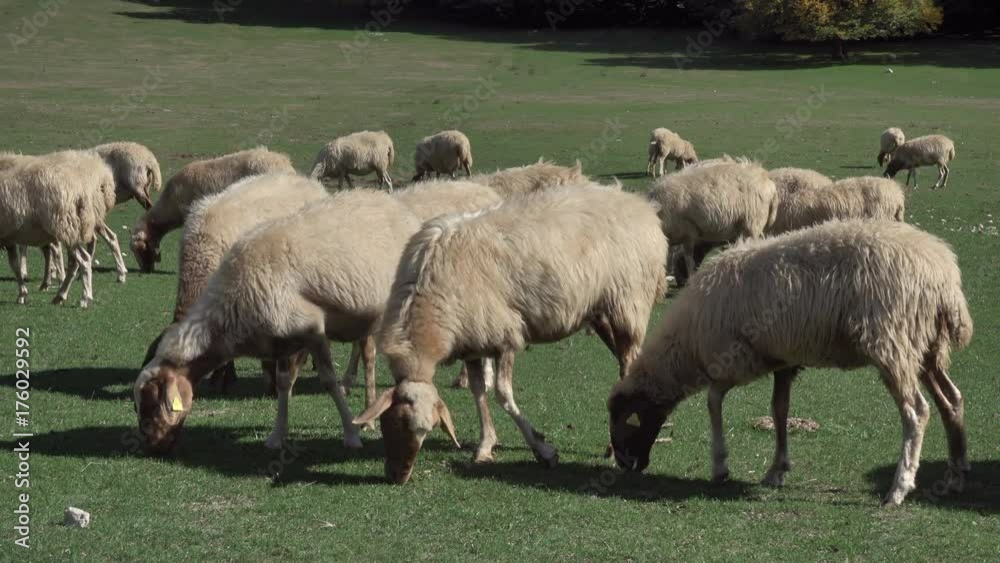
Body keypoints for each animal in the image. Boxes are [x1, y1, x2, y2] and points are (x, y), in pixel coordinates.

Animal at [0, 150, 116, 307]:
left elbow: (15, 265)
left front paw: (22, 294)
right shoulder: (8, 237)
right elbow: (15, 265)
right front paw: (23, 294)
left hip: (66, 228)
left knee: (84, 259)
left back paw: (85, 298)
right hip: (72, 230)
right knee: (74, 262)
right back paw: (60, 295)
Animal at [354, 185, 668, 484]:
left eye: (424, 429)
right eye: (389, 423)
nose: (396, 476)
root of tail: (643, 208)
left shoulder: (504, 337)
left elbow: (503, 395)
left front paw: (544, 451)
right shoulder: (472, 341)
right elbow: (478, 391)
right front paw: (484, 446)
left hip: (627, 302)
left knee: (628, 363)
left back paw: (614, 449)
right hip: (600, 313)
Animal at [608, 219, 973, 506]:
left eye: (624, 419)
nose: (625, 466)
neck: (686, 347)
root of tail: (944, 276)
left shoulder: (733, 358)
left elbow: (713, 402)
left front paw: (720, 465)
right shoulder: (783, 360)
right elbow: (779, 410)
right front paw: (777, 469)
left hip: (891, 342)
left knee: (917, 412)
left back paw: (899, 488)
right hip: (924, 348)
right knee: (951, 400)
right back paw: (955, 476)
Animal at [648, 159, 777, 280]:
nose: (680, 282)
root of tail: (768, 182)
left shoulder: (688, 233)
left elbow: (688, 259)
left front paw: (690, 276)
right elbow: (670, 255)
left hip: (752, 224)